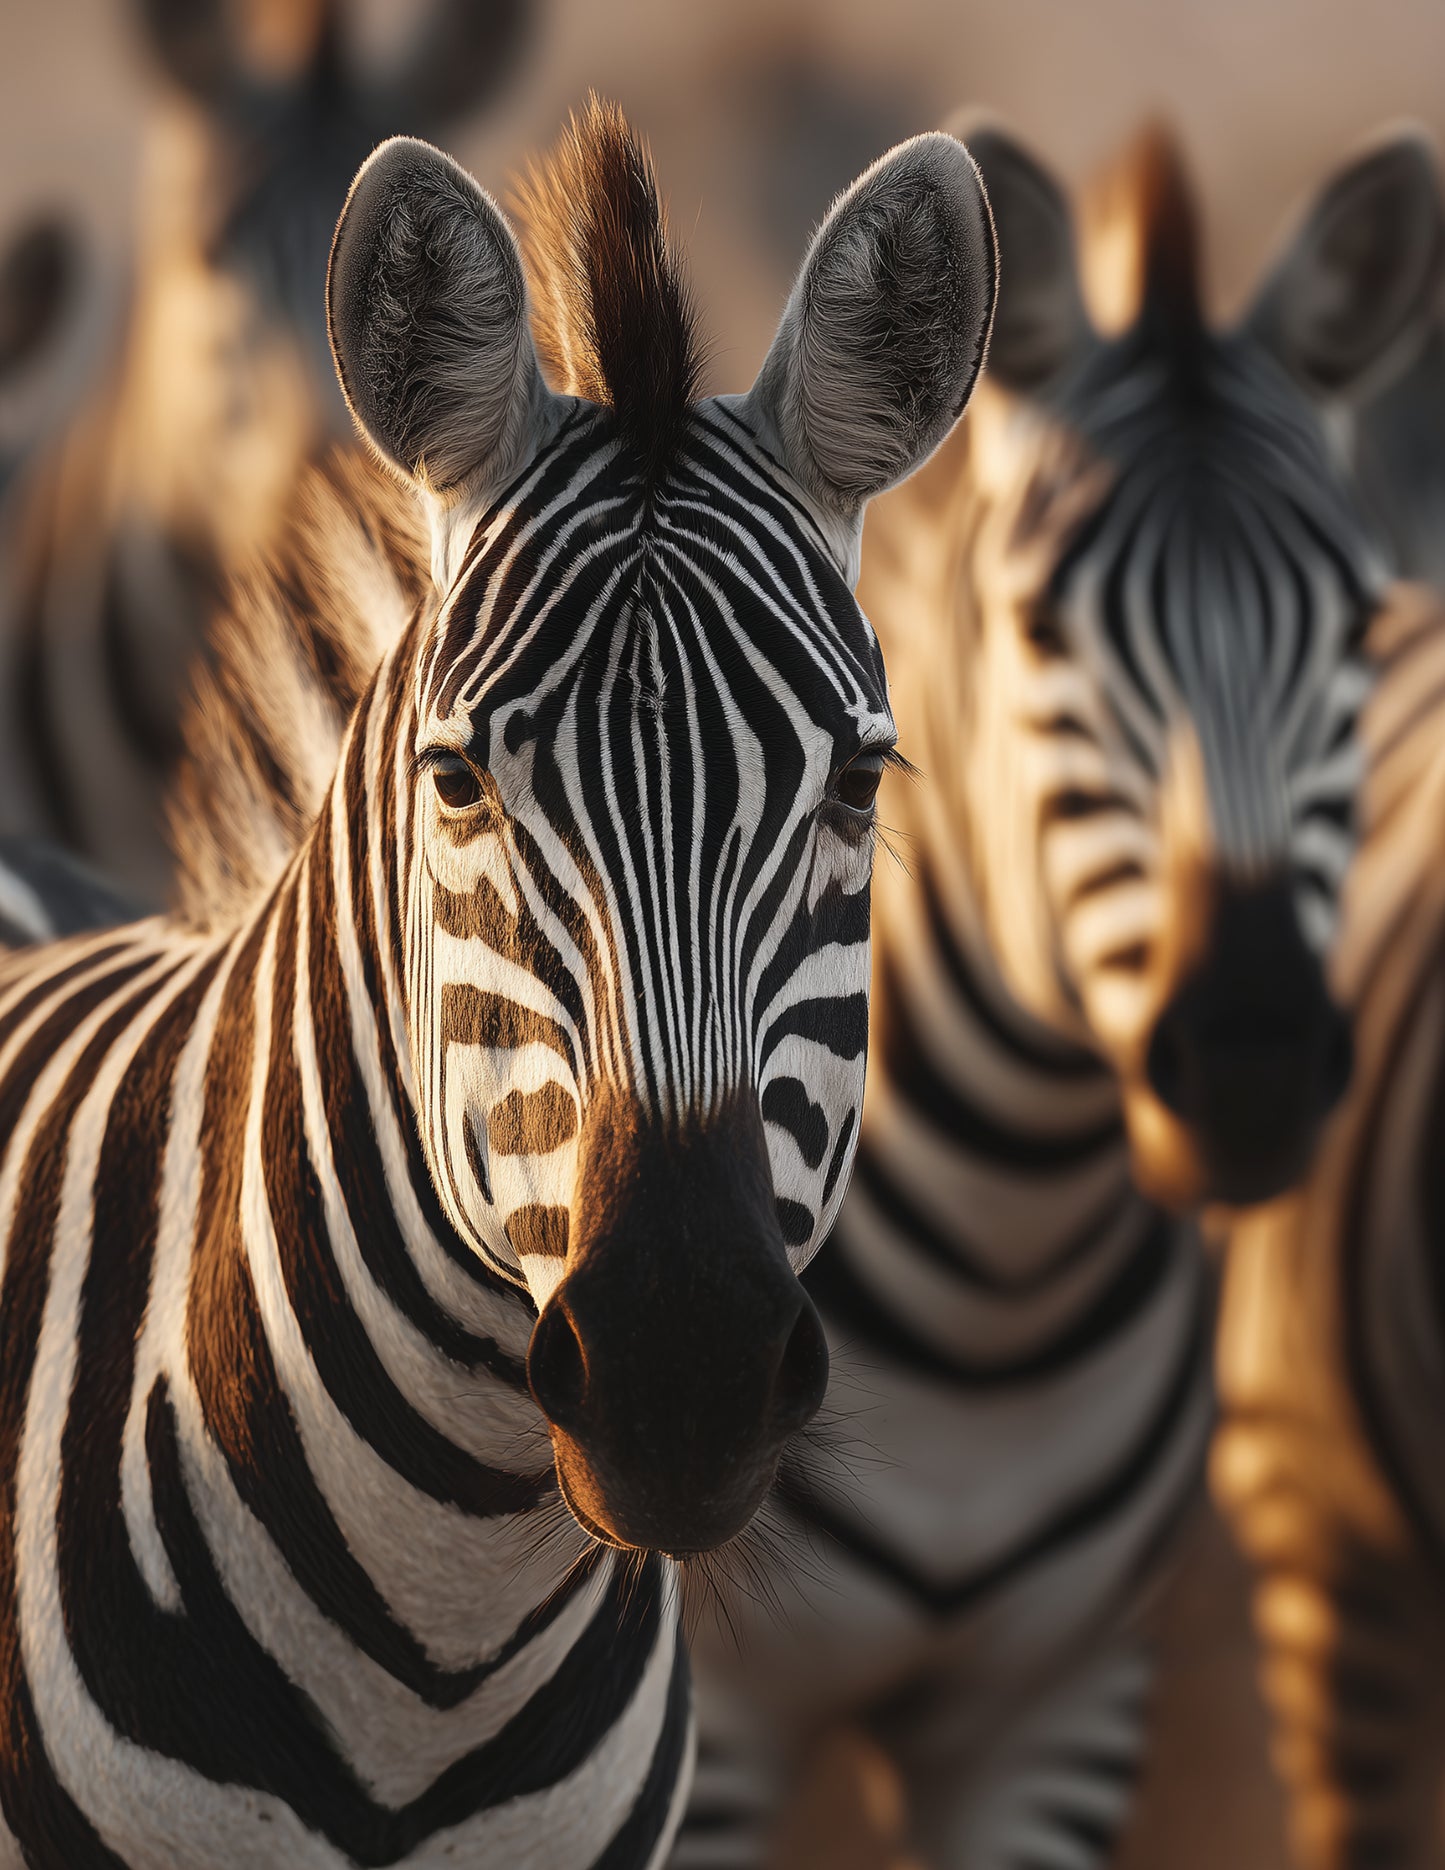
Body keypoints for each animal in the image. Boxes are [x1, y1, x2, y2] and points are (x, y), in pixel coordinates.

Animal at [677, 121, 1445, 1869]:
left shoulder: (1060, 1707)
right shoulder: (710, 1724)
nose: (1248, 1061)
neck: (996, 1292)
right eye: (1036, 628)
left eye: (1358, 627)